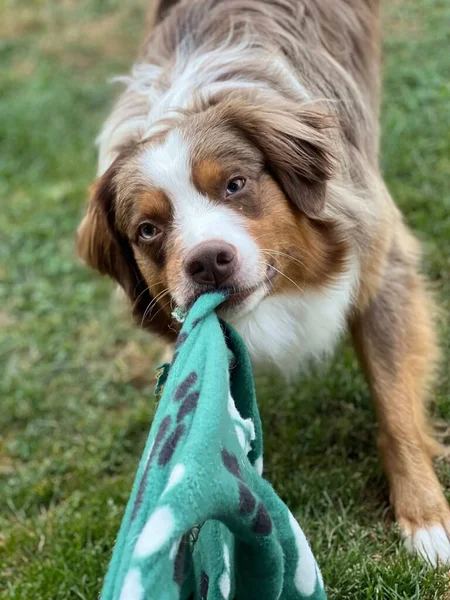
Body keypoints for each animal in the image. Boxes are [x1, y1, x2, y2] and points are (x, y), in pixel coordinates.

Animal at [75, 0, 448, 564]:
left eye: (234, 184)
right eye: (148, 230)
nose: (208, 262)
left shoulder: (383, 263)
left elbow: (395, 407)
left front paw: (426, 518)